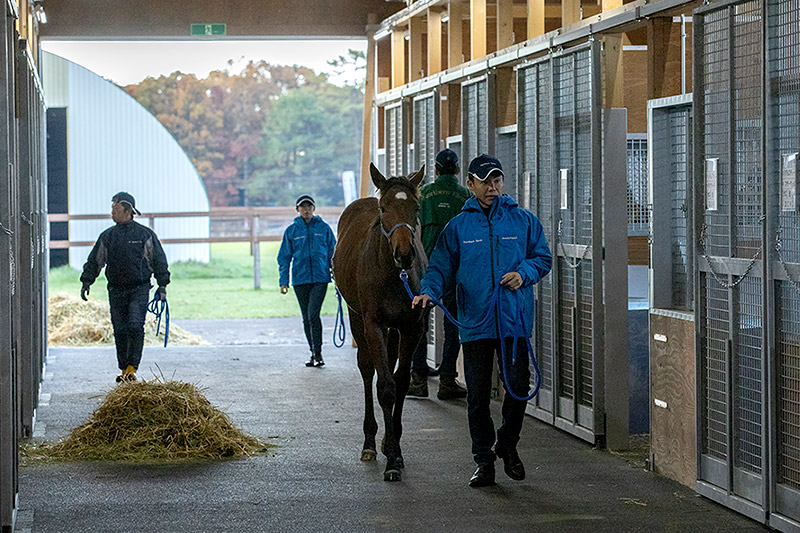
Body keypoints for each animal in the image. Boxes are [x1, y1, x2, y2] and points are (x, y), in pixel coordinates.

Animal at [332, 163, 428, 482]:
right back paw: (370, 443)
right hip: (356, 318)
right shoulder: (373, 324)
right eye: (384, 208)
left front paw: (394, 446)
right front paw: (391, 458)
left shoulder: (412, 327)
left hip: (393, 330)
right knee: (366, 370)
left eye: (416, 207)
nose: (404, 254)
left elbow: (400, 383)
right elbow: (384, 386)